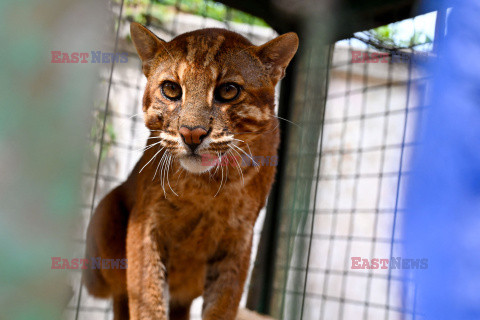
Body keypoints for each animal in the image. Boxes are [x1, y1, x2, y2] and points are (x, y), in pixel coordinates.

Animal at [84, 23, 298, 320]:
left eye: (229, 90)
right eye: (171, 89)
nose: (192, 134)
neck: (208, 184)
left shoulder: (239, 239)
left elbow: (221, 306)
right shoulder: (146, 223)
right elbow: (148, 300)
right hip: (106, 212)